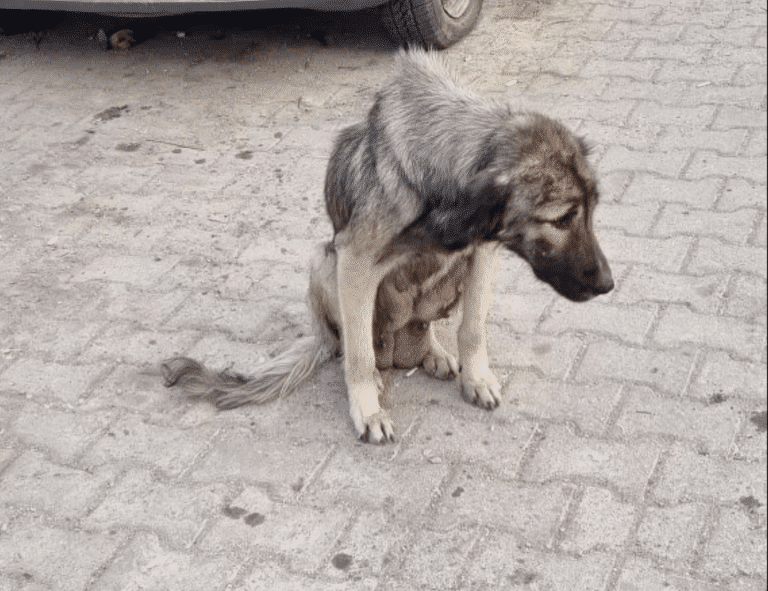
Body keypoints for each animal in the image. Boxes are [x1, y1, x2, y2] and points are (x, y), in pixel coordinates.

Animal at [162, 48, 613, 443]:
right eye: (561, 219)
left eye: (592, 210)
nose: (608, 285)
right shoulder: (355, 264)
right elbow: (360, 354)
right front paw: (368, 410)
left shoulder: (484, 252)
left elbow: (472, 329)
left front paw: (476, 377)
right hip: (323, 261)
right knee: (350, 343)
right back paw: (378, 370)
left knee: (422, 326)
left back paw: (433, 353)